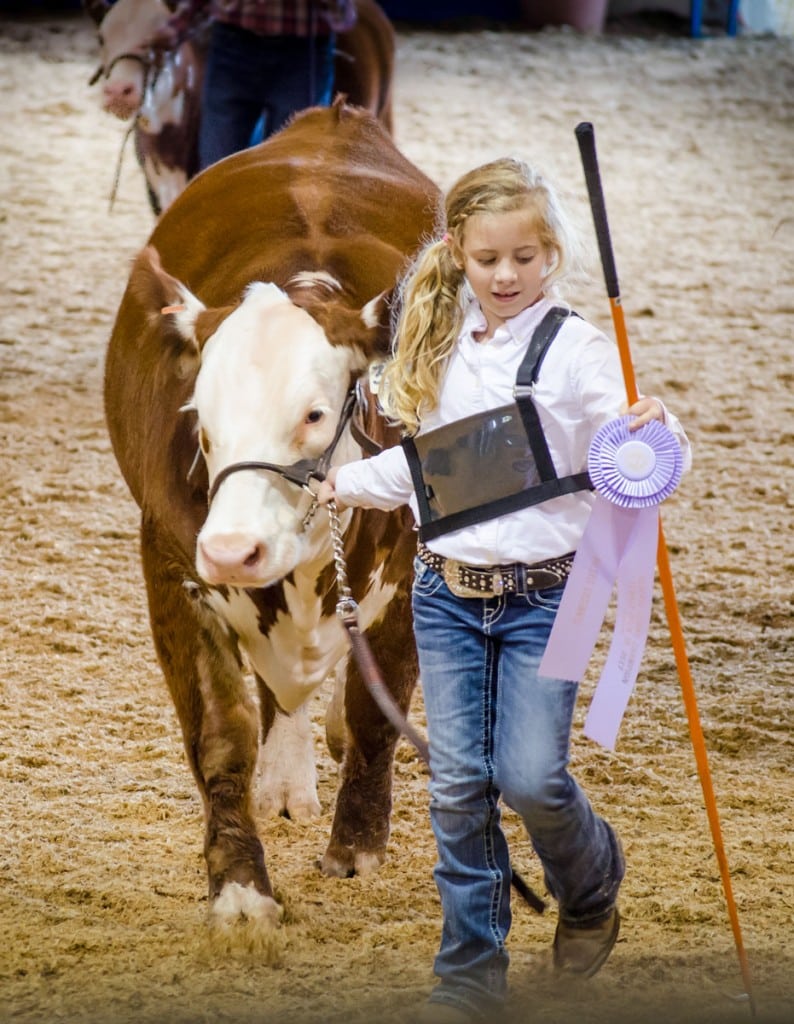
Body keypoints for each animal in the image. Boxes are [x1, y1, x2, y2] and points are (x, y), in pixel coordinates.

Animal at [103, 103, 440, 929]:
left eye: (314, 414)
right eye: (201, 417)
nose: (233, 550)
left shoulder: (411, 572)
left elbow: (380, 704)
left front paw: (357, 850)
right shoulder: (173, 568)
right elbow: (222, 734)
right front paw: (240, 887)